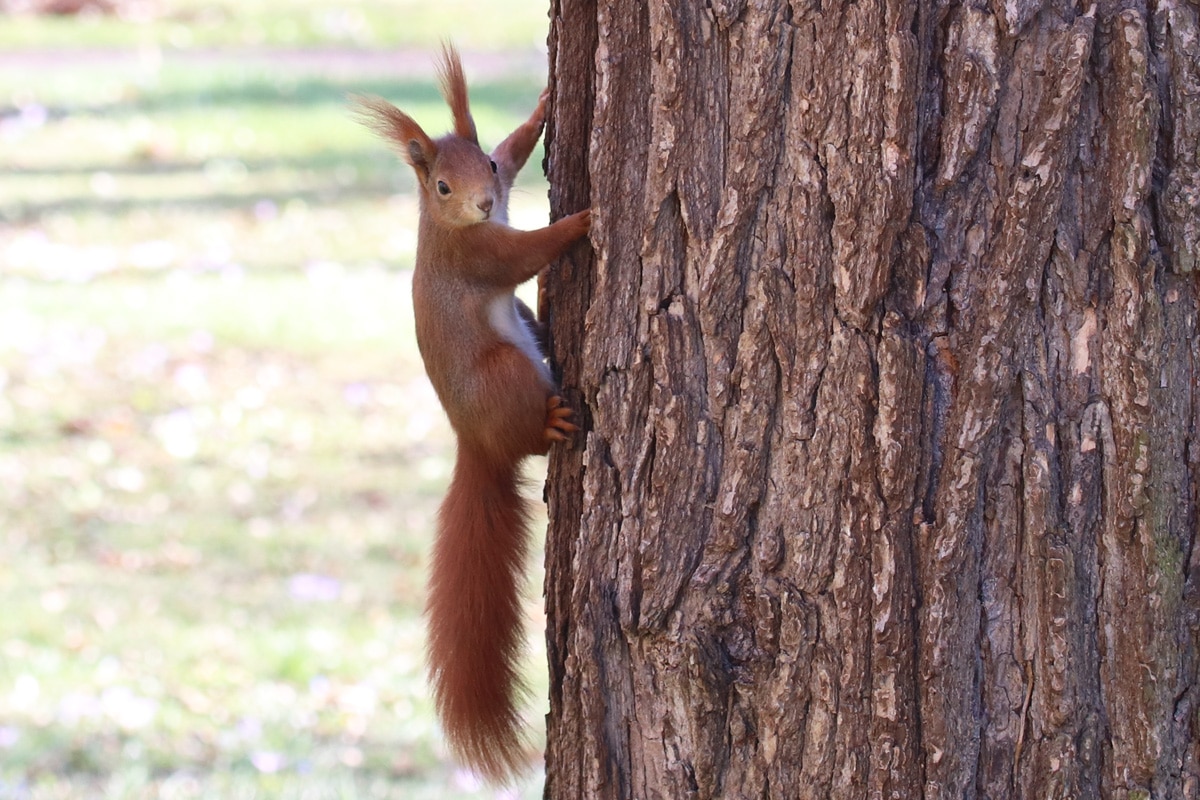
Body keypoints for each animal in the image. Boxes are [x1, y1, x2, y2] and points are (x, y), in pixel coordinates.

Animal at [350, 43, 590, 782]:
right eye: (440, 188)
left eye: (481, 165)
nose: (484, 203)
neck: (449, 226)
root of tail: (475, 444)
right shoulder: (478, 254)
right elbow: (525, 253)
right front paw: (583, 222)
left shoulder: (507, 182)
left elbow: (520, 148)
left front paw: (541, 108)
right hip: (507, 373)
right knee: (533, 436)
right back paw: (551, 426)